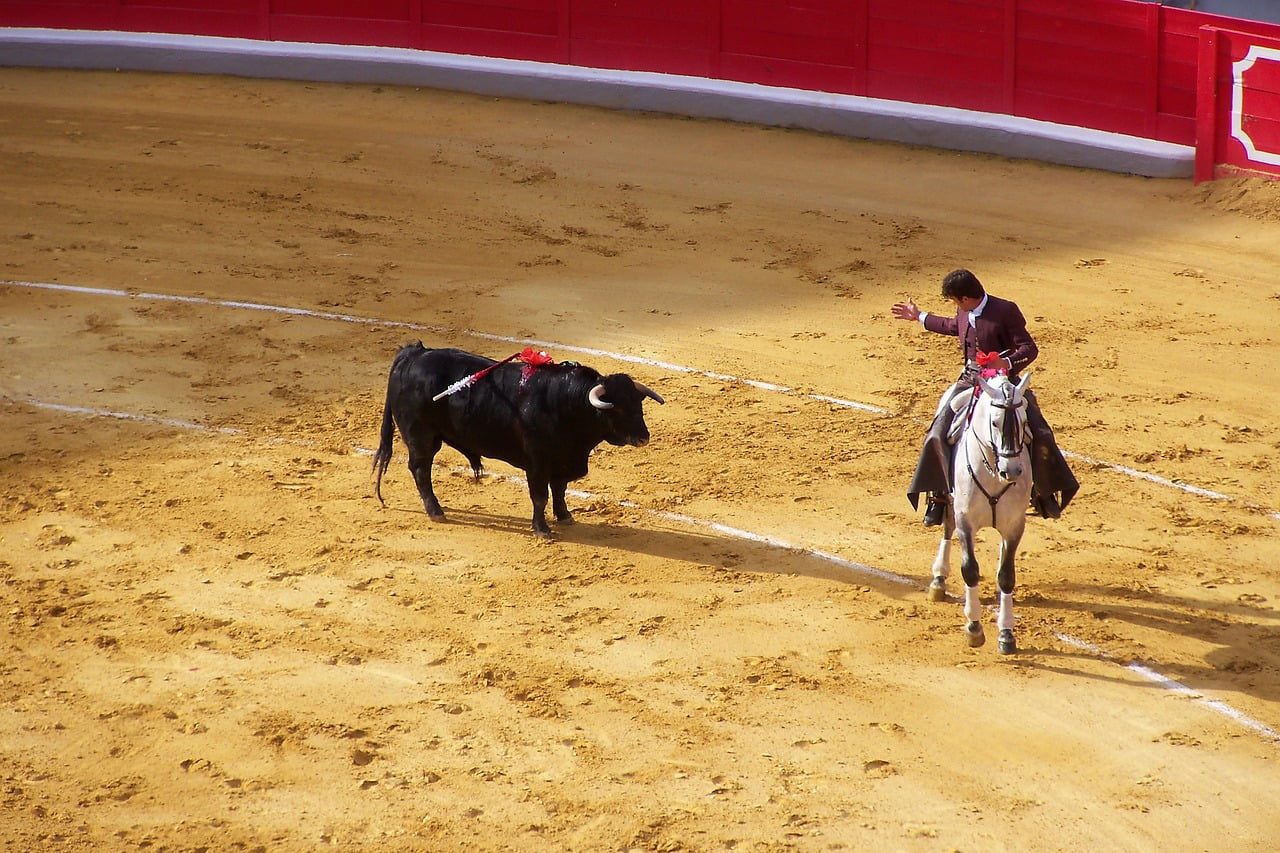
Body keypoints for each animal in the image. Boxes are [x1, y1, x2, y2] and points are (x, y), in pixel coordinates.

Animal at [371, 343, 665, 532]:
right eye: (618, 408)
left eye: (638, 405)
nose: (643, 437)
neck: (566, 403)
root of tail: (414, 353)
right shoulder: (537, 464)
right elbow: (540, 496)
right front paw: (542, 529)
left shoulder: (561, 461)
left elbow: (559, 490)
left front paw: (565, 516)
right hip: (421, 436)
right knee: (420, 469)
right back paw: (436, 511)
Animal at [926, 371, 1034, 650]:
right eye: (994, 422)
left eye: (1024, 421)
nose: (1012, 471)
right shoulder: (966, 521)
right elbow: (970, 570)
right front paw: (974, 627)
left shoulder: (1015, 526)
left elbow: (1007, 575)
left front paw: (1006, 633)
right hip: (950, 501)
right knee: (947, 526)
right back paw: (938, 579)